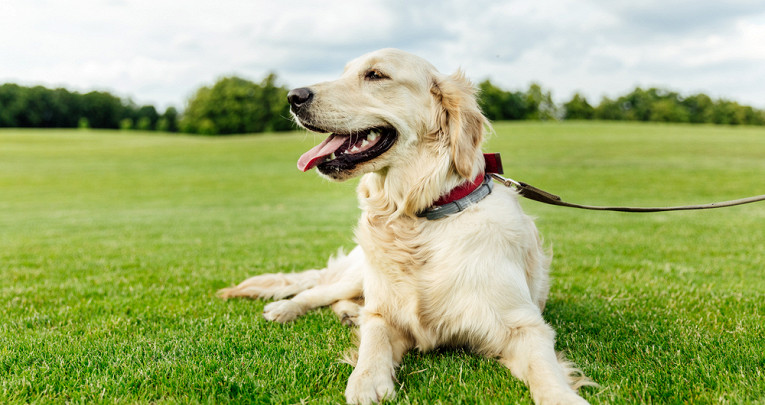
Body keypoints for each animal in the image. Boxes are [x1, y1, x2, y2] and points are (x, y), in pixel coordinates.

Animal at [221, 49, 592, 402]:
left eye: (375, 74)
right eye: (344, 72)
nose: (293, 96)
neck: (418, 217)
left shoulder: (523, 325)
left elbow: (544, 369)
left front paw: (562, 398)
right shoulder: (385, 313)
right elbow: (373, 340)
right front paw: (366, 381)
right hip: (361, 271)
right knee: (320, 291)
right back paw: (287, 308)